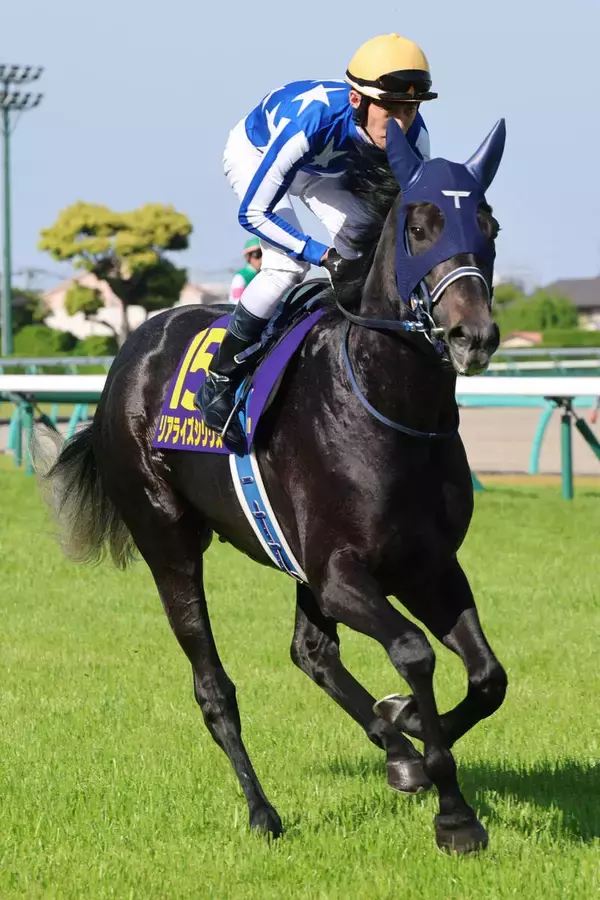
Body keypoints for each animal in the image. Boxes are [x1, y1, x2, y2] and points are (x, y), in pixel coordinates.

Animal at [33, 119, 507, 854]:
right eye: (420, 225)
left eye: (488, 222)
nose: (472, 334)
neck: (386, 405)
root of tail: (129, 354)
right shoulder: (340, 572)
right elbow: (413, 651)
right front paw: (453, 812)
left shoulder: (427, 563)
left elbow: (488, 677)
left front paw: (408, 738)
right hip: (168, 544)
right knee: (213, 687)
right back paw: (263, 811)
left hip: (295, 561)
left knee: (310, 653)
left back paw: (392, 748)